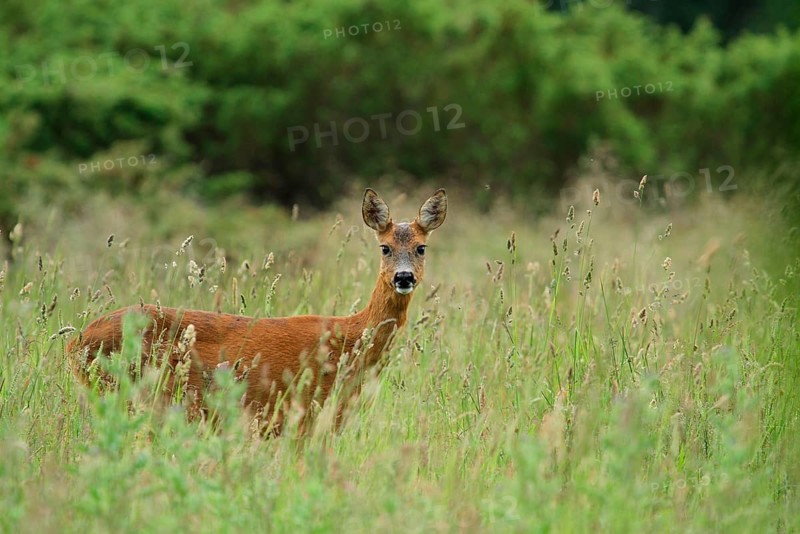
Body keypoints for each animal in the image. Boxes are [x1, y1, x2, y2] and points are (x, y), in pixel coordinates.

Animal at [67, 188, 447, 434]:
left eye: (421, 247)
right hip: (128, 393)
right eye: (384, 247)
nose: (403, 277)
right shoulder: (303, 413)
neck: (350, 341)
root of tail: (73, 343)